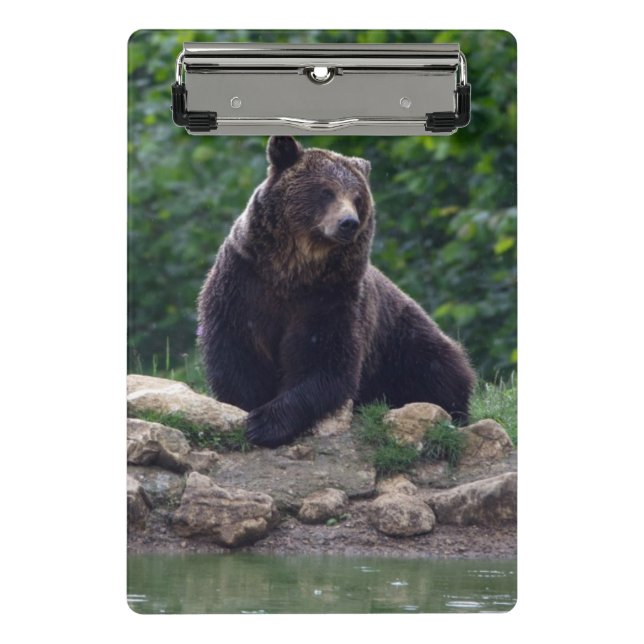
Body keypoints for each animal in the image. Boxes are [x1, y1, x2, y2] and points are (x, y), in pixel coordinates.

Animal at [198, 136, 476, 448]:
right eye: (326, 191)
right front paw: (247, 408)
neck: (292, 271)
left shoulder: (331, 297)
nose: (348, 222)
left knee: (440, 371)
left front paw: (265, 422)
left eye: (357, 198)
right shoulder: (244, 283)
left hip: (404, 341)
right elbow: (236, 352)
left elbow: (327, 362)